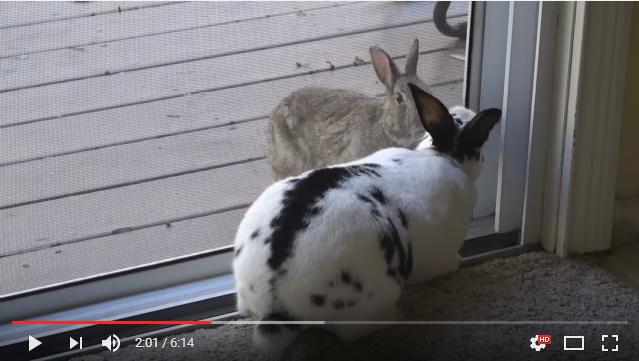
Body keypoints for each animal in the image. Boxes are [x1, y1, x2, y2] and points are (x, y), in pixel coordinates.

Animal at [232, 85, 502, 354]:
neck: (443, 155)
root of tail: (276, 305)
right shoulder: (440, 251)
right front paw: (458, 262)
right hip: (371, 296)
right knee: (353, 331)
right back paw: (395, 317)